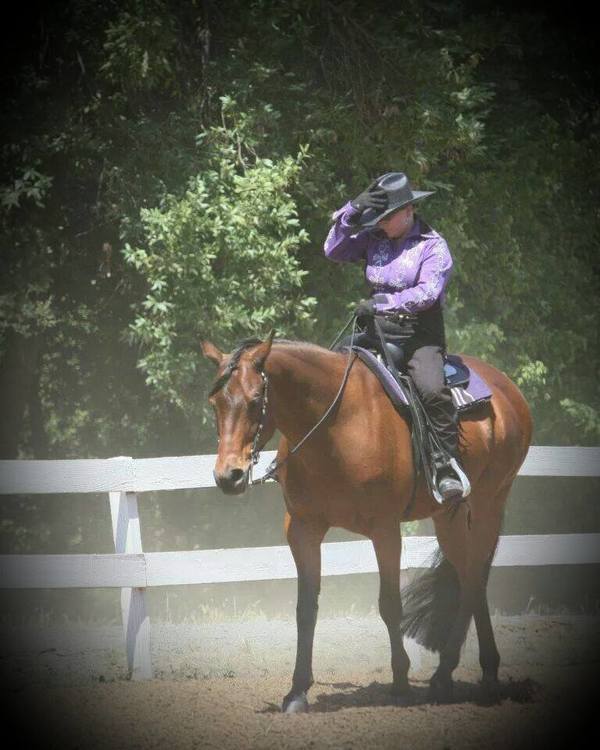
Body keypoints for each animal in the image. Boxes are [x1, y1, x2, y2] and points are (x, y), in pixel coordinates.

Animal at [201, 330, 533, 713]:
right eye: (214, 402)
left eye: (256, 401)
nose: (229, 476)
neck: (336, 425)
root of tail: (507, 389)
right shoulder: (302, 528)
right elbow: (305, 608)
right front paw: (297, 691)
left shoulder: (385, 529)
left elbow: (390, 605)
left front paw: (401, 683)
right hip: (448, 519)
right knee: (468, 580)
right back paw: (445, 677)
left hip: (488, 504)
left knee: (476, 580)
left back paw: (484, 679)